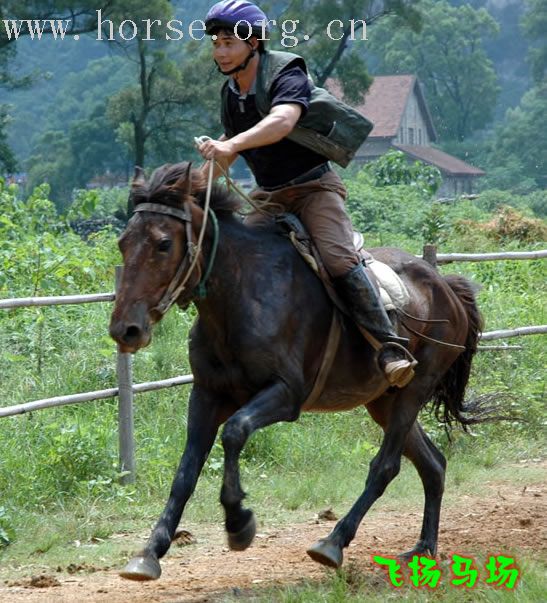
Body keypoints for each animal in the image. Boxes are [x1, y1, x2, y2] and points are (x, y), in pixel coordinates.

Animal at [110, 160, 484, 580]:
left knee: (385, 467)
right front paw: (150, 552)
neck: (241, 294)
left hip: (413, 391)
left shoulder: (285, 394)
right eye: (123, 242)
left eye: (163, 243)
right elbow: (186, 472)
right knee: (433, 464)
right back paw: (423, 548)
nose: (126, 329)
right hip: (383, 402)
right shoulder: (206, 395)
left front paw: (239, 521)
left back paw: (333, 542)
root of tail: (447, 287)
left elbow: (234, 432)